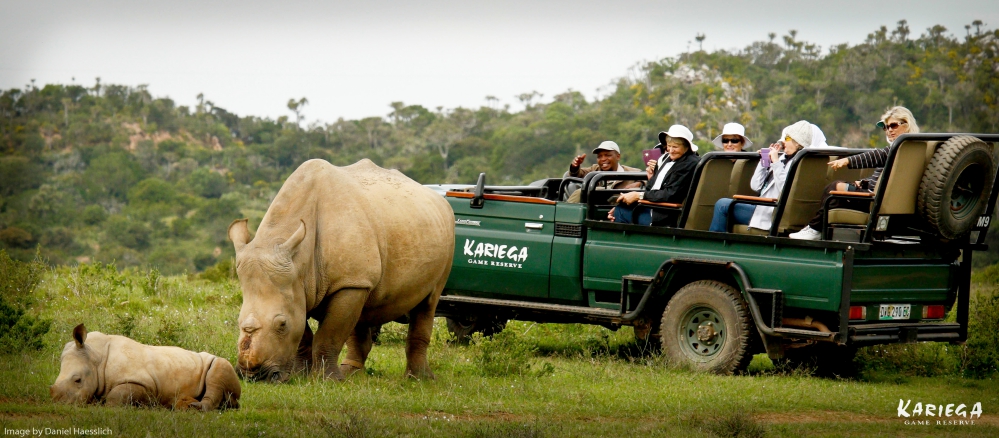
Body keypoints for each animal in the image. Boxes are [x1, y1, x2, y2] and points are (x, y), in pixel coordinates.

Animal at [52, 322, 242, 410]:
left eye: (78, 380)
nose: (58, 403)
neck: (95, 357)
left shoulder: (144, 384)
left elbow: (116, 396)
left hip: (220, 363)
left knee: (218, 369)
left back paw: (195, 408)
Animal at [229, 159, 456, 382]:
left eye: (281, 324)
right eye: (238, 321)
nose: (252, 376)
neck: (300, 262)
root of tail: (441, 199)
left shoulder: (346, 282)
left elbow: (329, 334)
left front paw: (327, 381)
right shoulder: (300, 286)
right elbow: (303, 330)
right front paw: (300, 375)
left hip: (444, 238)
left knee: (428, 303)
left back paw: (419, 379)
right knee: (364, 309)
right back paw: (351, 373)